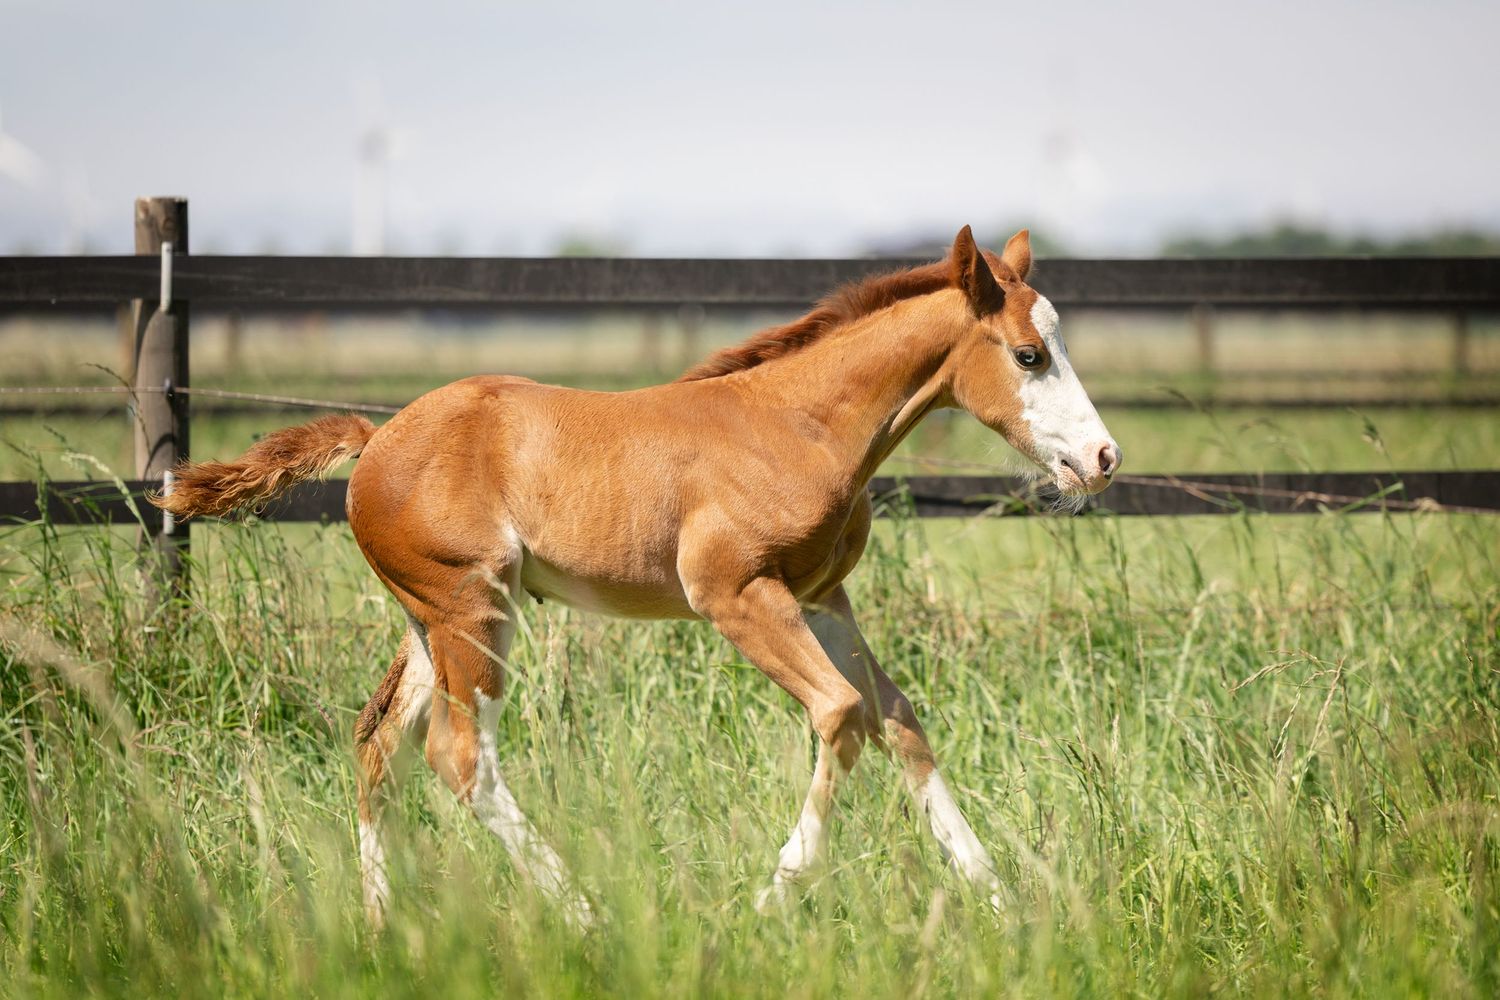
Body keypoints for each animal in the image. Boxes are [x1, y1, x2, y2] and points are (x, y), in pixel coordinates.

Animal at [152, 226, 1120, 925]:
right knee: (459, 756)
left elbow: (901, 722)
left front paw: (1004, 900)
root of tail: (375, 437)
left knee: (378, 740)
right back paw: (581, 914)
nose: (1104, 460)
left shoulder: (822, 597)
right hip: (473, 608)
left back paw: (383, 921)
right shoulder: (738, 597)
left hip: (428, 621)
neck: (797, 426)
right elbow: (842, 714)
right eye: (1029, 355)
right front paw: (771, 899)